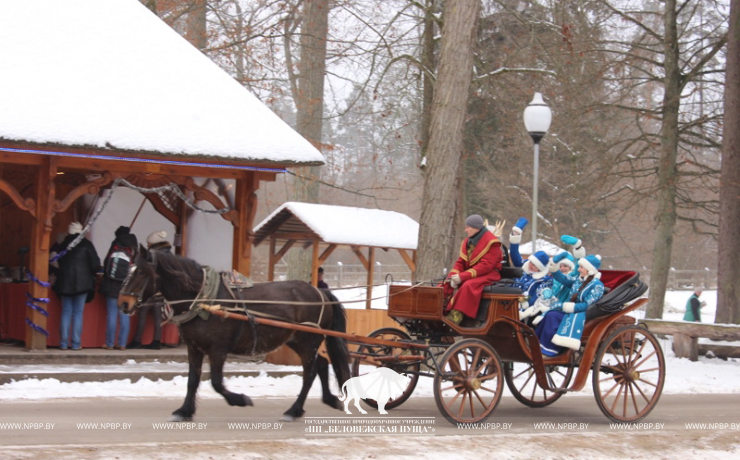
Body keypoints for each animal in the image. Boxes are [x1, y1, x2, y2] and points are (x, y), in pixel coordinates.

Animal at [118, 246, 352, 422]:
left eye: (141, 272)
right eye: (129, 269)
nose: (123, 303)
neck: (205, 300)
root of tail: (321, 292)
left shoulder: (218, 349)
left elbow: (216, 382)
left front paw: (240, 399)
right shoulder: (194, 347)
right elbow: (192, 380)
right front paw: (184, 411)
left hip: (307, 341)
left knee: (310, 373)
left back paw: (293, 410)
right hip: (297, 340)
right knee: (321, 364)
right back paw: (329, 399)